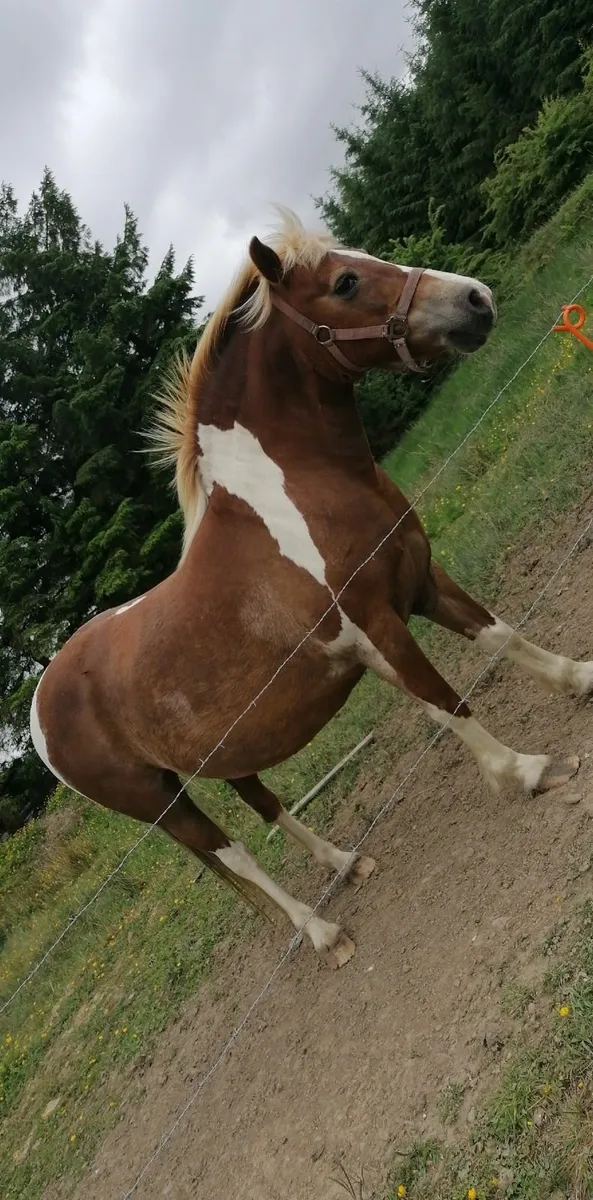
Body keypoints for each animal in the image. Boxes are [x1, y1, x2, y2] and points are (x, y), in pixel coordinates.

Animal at [30, 209, 590, 969]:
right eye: (345, 281)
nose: (474, 299)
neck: (299, 494)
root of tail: (40, 712)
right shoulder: (374, 629)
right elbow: (445, 703)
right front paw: (526, 771)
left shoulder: (419, 581)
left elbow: (501, 636)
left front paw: (581, 679)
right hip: (159, 803)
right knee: (234, 855)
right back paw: (323, 932)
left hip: (217, 761)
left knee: (268, 811)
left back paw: (347, 863)